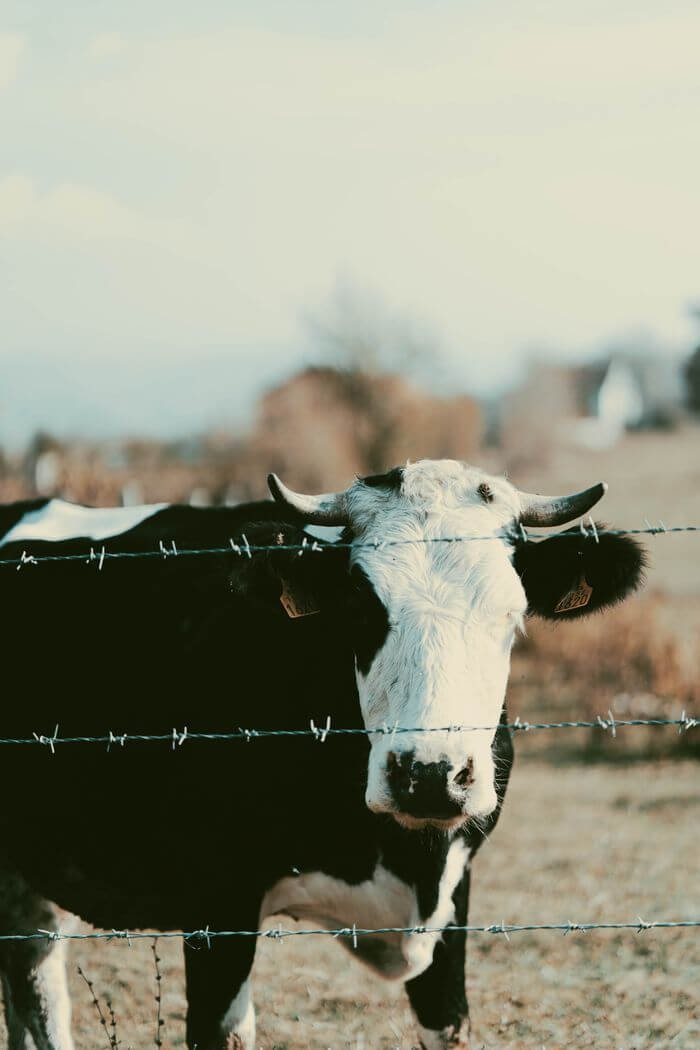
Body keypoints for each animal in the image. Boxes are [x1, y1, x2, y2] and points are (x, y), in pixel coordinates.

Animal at [0, 459, 645, 1049]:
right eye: (361, 608)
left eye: (510, 616)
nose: (430, 775)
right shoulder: (216, 906)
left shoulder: (454, 891)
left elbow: (449, 1022)